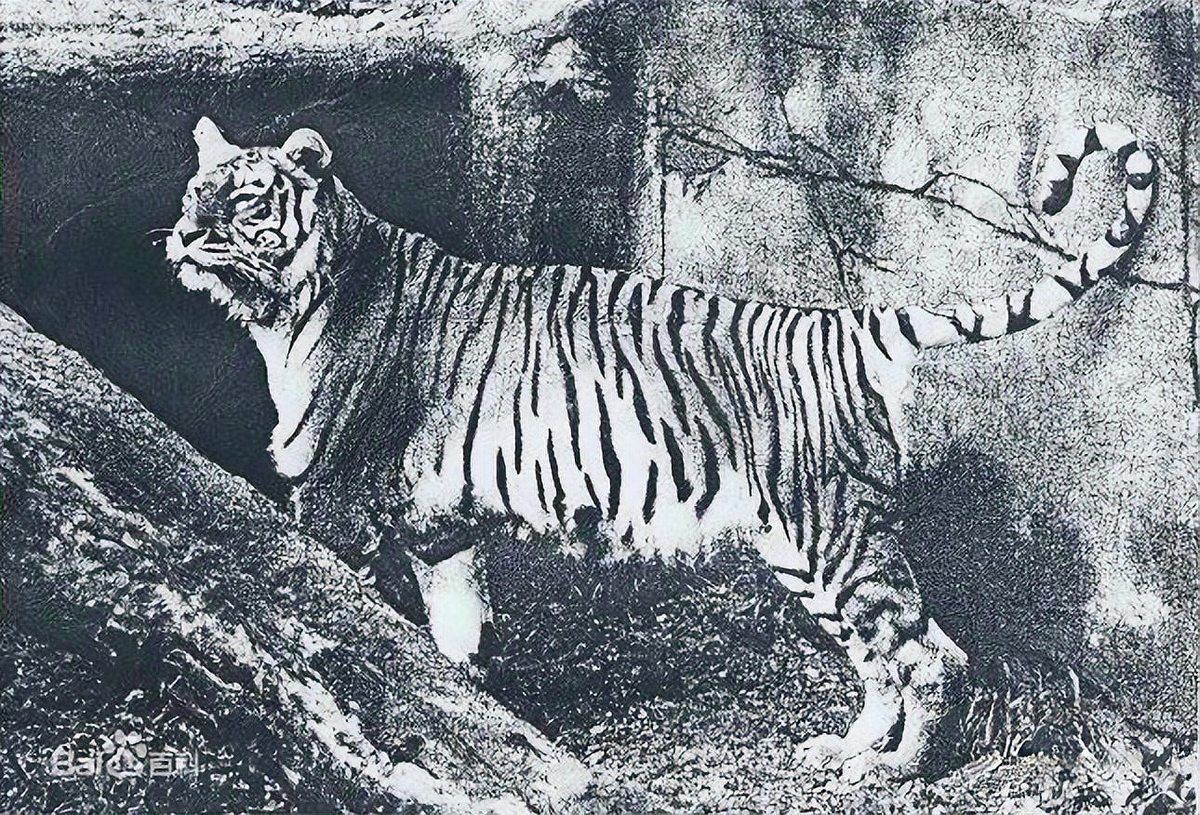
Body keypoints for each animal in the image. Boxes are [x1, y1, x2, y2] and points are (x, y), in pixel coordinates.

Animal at [166, 115, 1157, 780]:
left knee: (932, 655)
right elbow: (450, 636)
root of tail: (850, 321)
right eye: (192, 192)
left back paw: (895, 771)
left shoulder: (330, 497)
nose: (179, 235)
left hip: (835, 536)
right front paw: (462, 713)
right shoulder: (442, 526)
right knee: (884, 657)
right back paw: (842, 746)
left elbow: (330, 610)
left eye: (243, 199)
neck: (287, 305)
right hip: (802, 545)